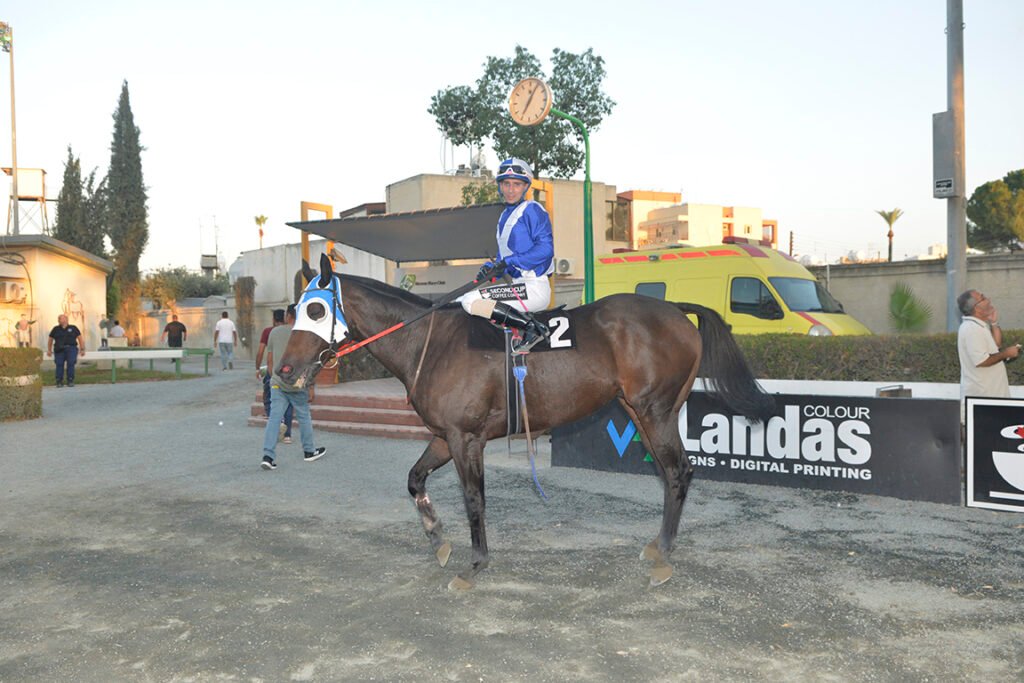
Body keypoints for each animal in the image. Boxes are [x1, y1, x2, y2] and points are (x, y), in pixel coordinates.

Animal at [279, 254, 774, 589]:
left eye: (316, 310)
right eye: (293, 310)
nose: (283, 371)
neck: (429, 343)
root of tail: (676, 311)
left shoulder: (466, 439)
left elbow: (474, 500)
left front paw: (475, 564)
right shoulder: (443, 436)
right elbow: (414, 480)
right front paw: (438, 537)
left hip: (656, 411)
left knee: (678, 472)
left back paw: (664, 555)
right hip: (642, 412)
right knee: (673, 473)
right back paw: (657, 544)